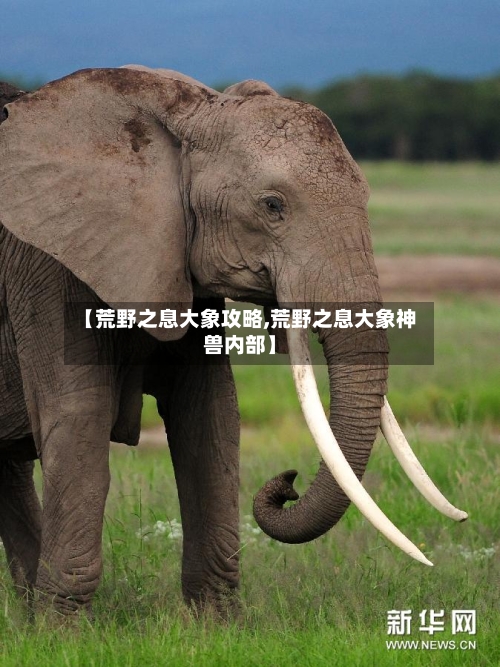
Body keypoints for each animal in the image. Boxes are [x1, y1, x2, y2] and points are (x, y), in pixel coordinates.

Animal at [0, 67, 467, 619]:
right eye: (272, 206)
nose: (286, 484)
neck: (184, 113)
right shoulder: (50, 268)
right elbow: (79, 416)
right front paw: (65, 631)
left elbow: (210, 412)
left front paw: (216, 625)